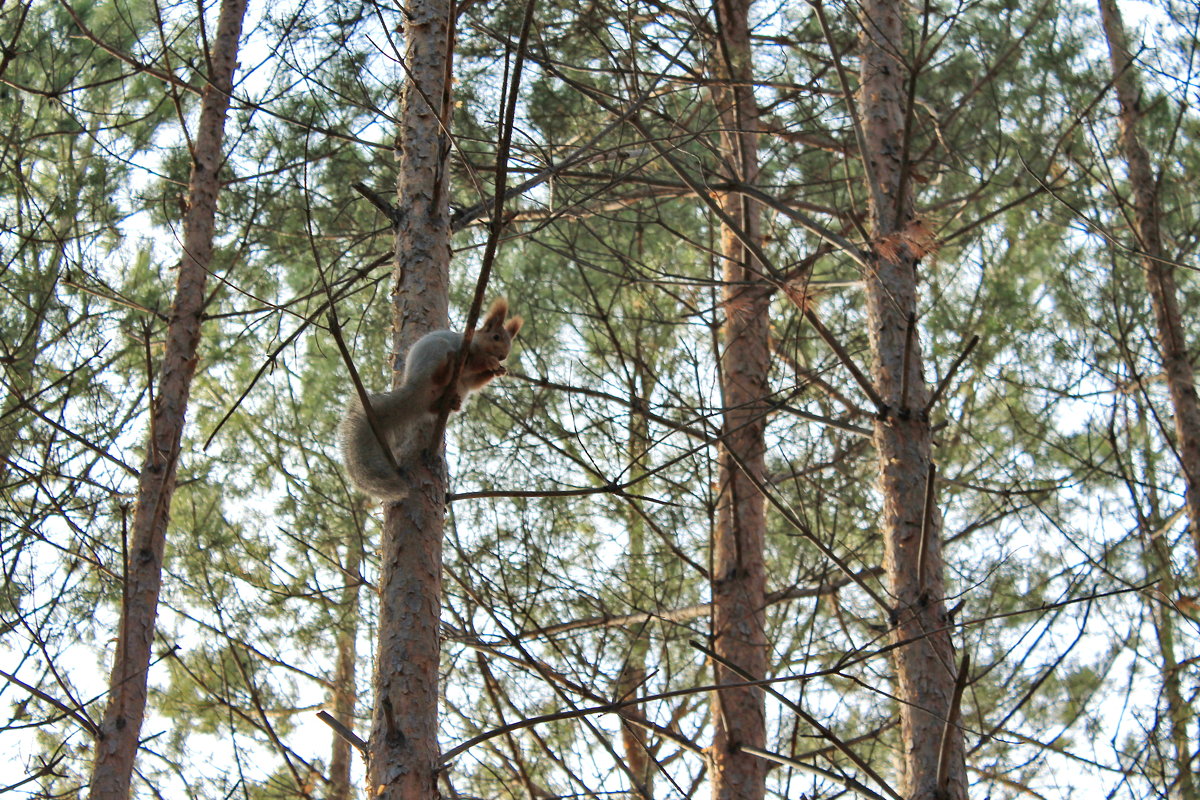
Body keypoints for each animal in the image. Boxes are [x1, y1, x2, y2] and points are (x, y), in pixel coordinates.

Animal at [340, 299, 523, 501]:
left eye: (510, 342)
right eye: (496, 337)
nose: (503, 356)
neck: (477, 344)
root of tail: (416, 388)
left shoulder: (471, 379)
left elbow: (477, 381)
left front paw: (499, 370)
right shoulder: (468, 352)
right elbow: (478, 361)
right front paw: (491, 362)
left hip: (460, 388)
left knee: (435, 404)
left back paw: (451, 403)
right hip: (435, 355)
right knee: (437, 376)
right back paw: (447, 368)